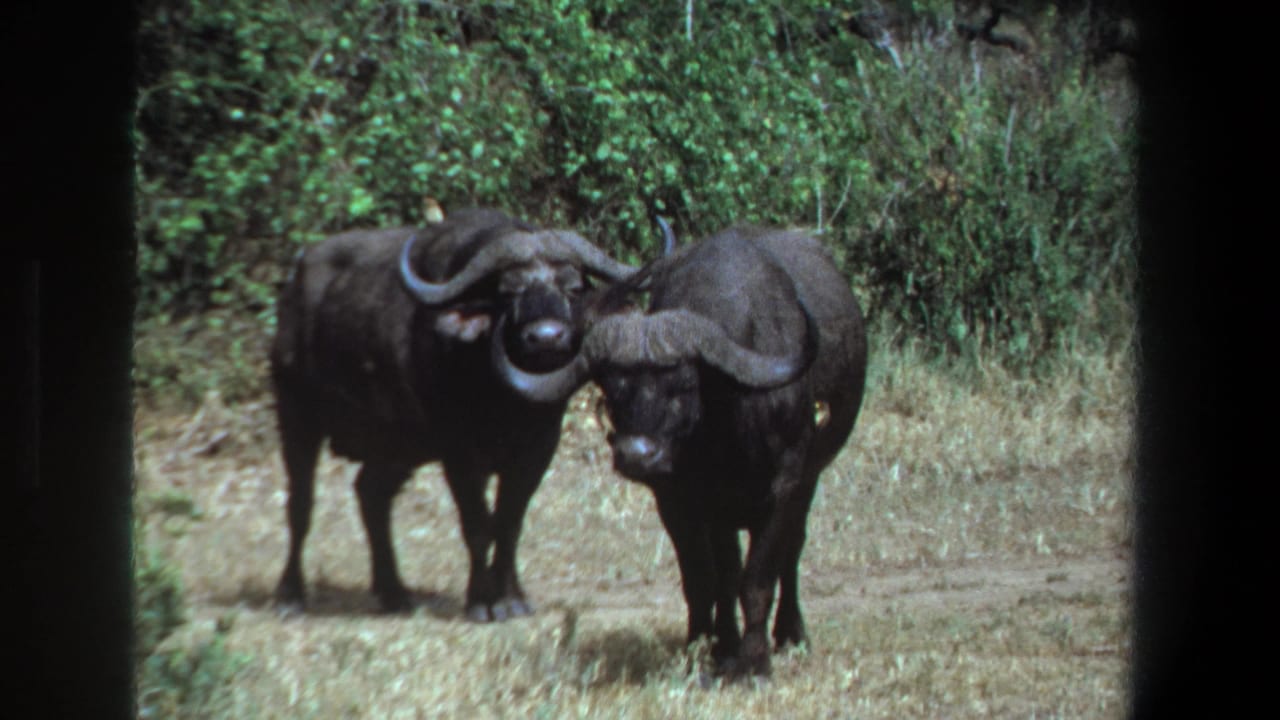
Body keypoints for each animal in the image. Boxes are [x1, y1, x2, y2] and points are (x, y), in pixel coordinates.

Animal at [271, 208, 637, 620]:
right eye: (508, 291)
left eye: (572, 288)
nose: (547, 337)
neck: (507, 400)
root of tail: (295, 283)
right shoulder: (459, 454)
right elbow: (477, 525)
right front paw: (481, 601)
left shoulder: (538, 451)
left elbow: (509, 524)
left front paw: (511, 597)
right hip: (296, 414)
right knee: (301, 504)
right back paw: (290, 595)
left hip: (398, 447)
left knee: (371, 494)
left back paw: (394, 592)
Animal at [498, 225, 867, 676]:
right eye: (612, 389)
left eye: (684, 385)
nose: (636, 455)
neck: (728, 429)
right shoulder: (689, 500)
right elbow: (711, 578)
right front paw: (715, 648)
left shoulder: (786, 484)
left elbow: (758, 577)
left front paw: (754, 662)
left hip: (810, 477)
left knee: (793, 550)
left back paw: (791, 634)